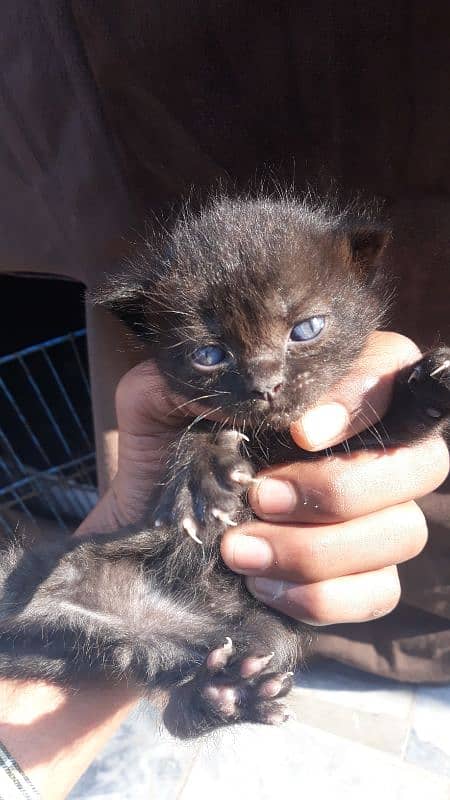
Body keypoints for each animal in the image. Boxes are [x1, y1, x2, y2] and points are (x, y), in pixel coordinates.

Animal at [0, 195, 450, 736]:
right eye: (209, 354)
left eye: (306, 329)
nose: (266, 385)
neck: (271, 441)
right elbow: (196, 429)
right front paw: (203, 473)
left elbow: (386, 428)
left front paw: (428, 385)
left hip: (259, 636)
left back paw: (224, 694)